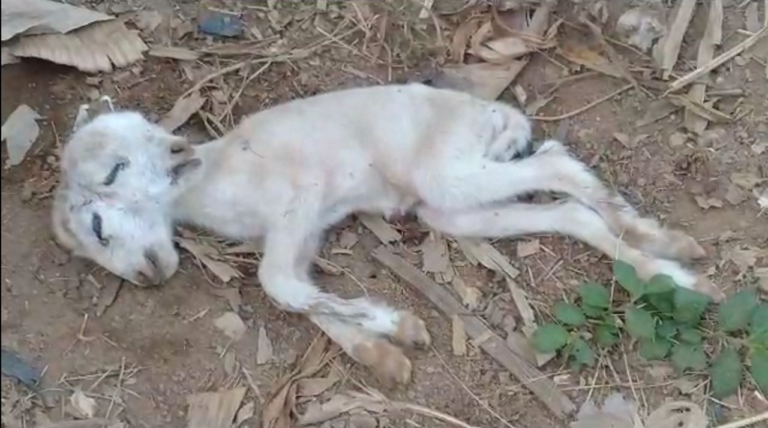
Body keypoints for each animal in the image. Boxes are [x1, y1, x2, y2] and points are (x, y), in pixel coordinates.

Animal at [52, 83, 715, 385]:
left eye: (106, 191)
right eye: (93, 238)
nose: (149, 274)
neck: (212, 179)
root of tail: (493, 113)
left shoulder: (300, 200)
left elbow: (276, 286)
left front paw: (400, 326)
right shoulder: (298, 235)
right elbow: (301, 295)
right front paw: (383, 351)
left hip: (448, 174)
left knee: (555, 162)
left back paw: (656, 239)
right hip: (450, 208)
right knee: (568, 212)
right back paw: (670, 268)